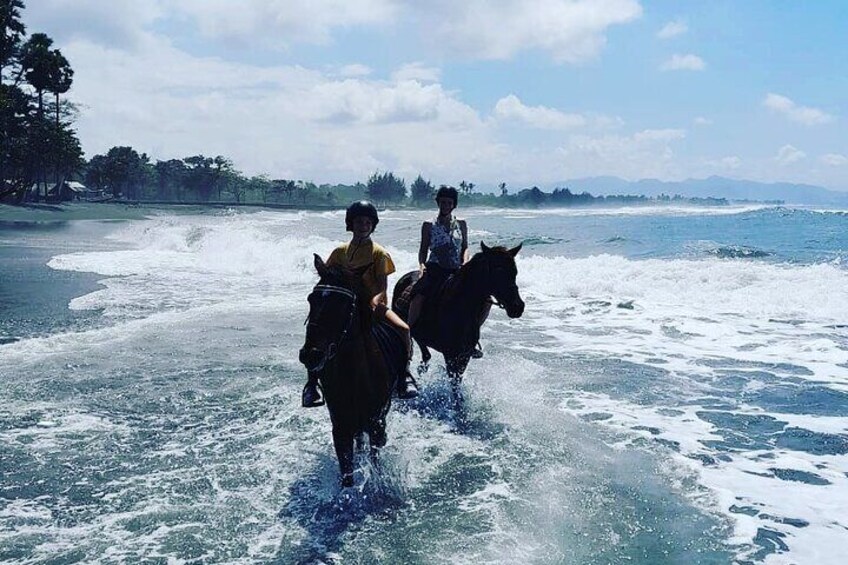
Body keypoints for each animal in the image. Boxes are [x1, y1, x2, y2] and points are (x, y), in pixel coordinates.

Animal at [298, 253, 394, 486]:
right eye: (311, 299)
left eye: (343, 304)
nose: (310, 354)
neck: (354, 376)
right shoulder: (340, 426)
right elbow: (347, 472)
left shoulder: (376, 423)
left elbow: (375, 459)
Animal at [390, 242, 524, 396]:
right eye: (498, 271)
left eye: (515, 272)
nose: (517, 307)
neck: (460, 306)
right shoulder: (450, 355)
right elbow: (454, 385)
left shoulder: (463, 356)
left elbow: (457, 382)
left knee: (425, 355)